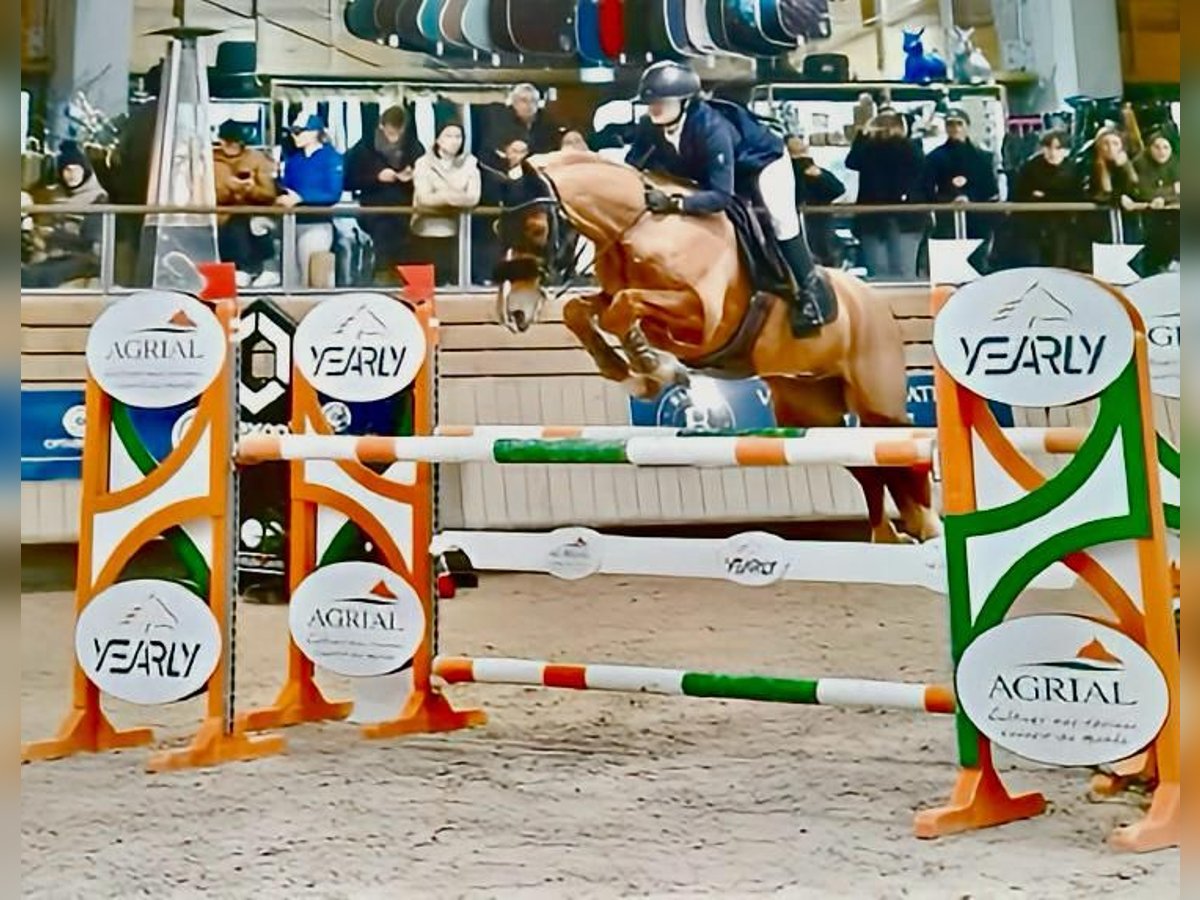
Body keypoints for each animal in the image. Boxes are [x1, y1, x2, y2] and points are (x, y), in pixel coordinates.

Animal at [489, 150, 936, 542]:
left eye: (535, 227)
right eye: (497, 231)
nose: (514, 312)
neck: (639, 226)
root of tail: (876, 302)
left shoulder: (703, 319)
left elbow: (624, 309)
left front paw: (654, 370)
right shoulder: (624, 298)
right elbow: (584, 311)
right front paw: (636, 373)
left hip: (877, 403)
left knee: (902, 450)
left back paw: (925, 525)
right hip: (811, 408)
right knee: (869, 464)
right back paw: (891, 534)